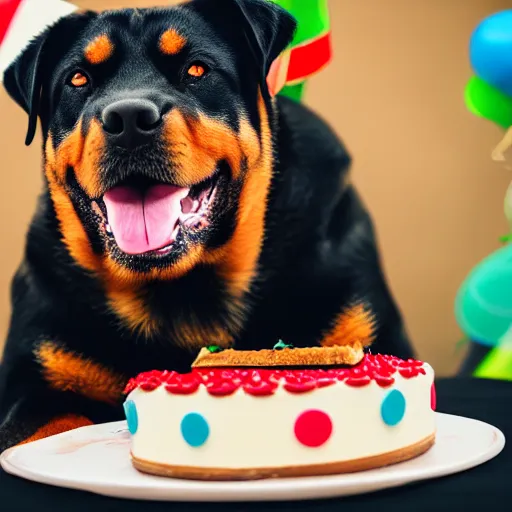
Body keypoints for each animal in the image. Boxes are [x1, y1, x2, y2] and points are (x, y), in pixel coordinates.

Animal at [0, 0, 412, 450]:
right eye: (78, 79)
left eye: (196, 69)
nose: (128, 118)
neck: (183, 295)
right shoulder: (35, 378)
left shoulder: (357, 320)